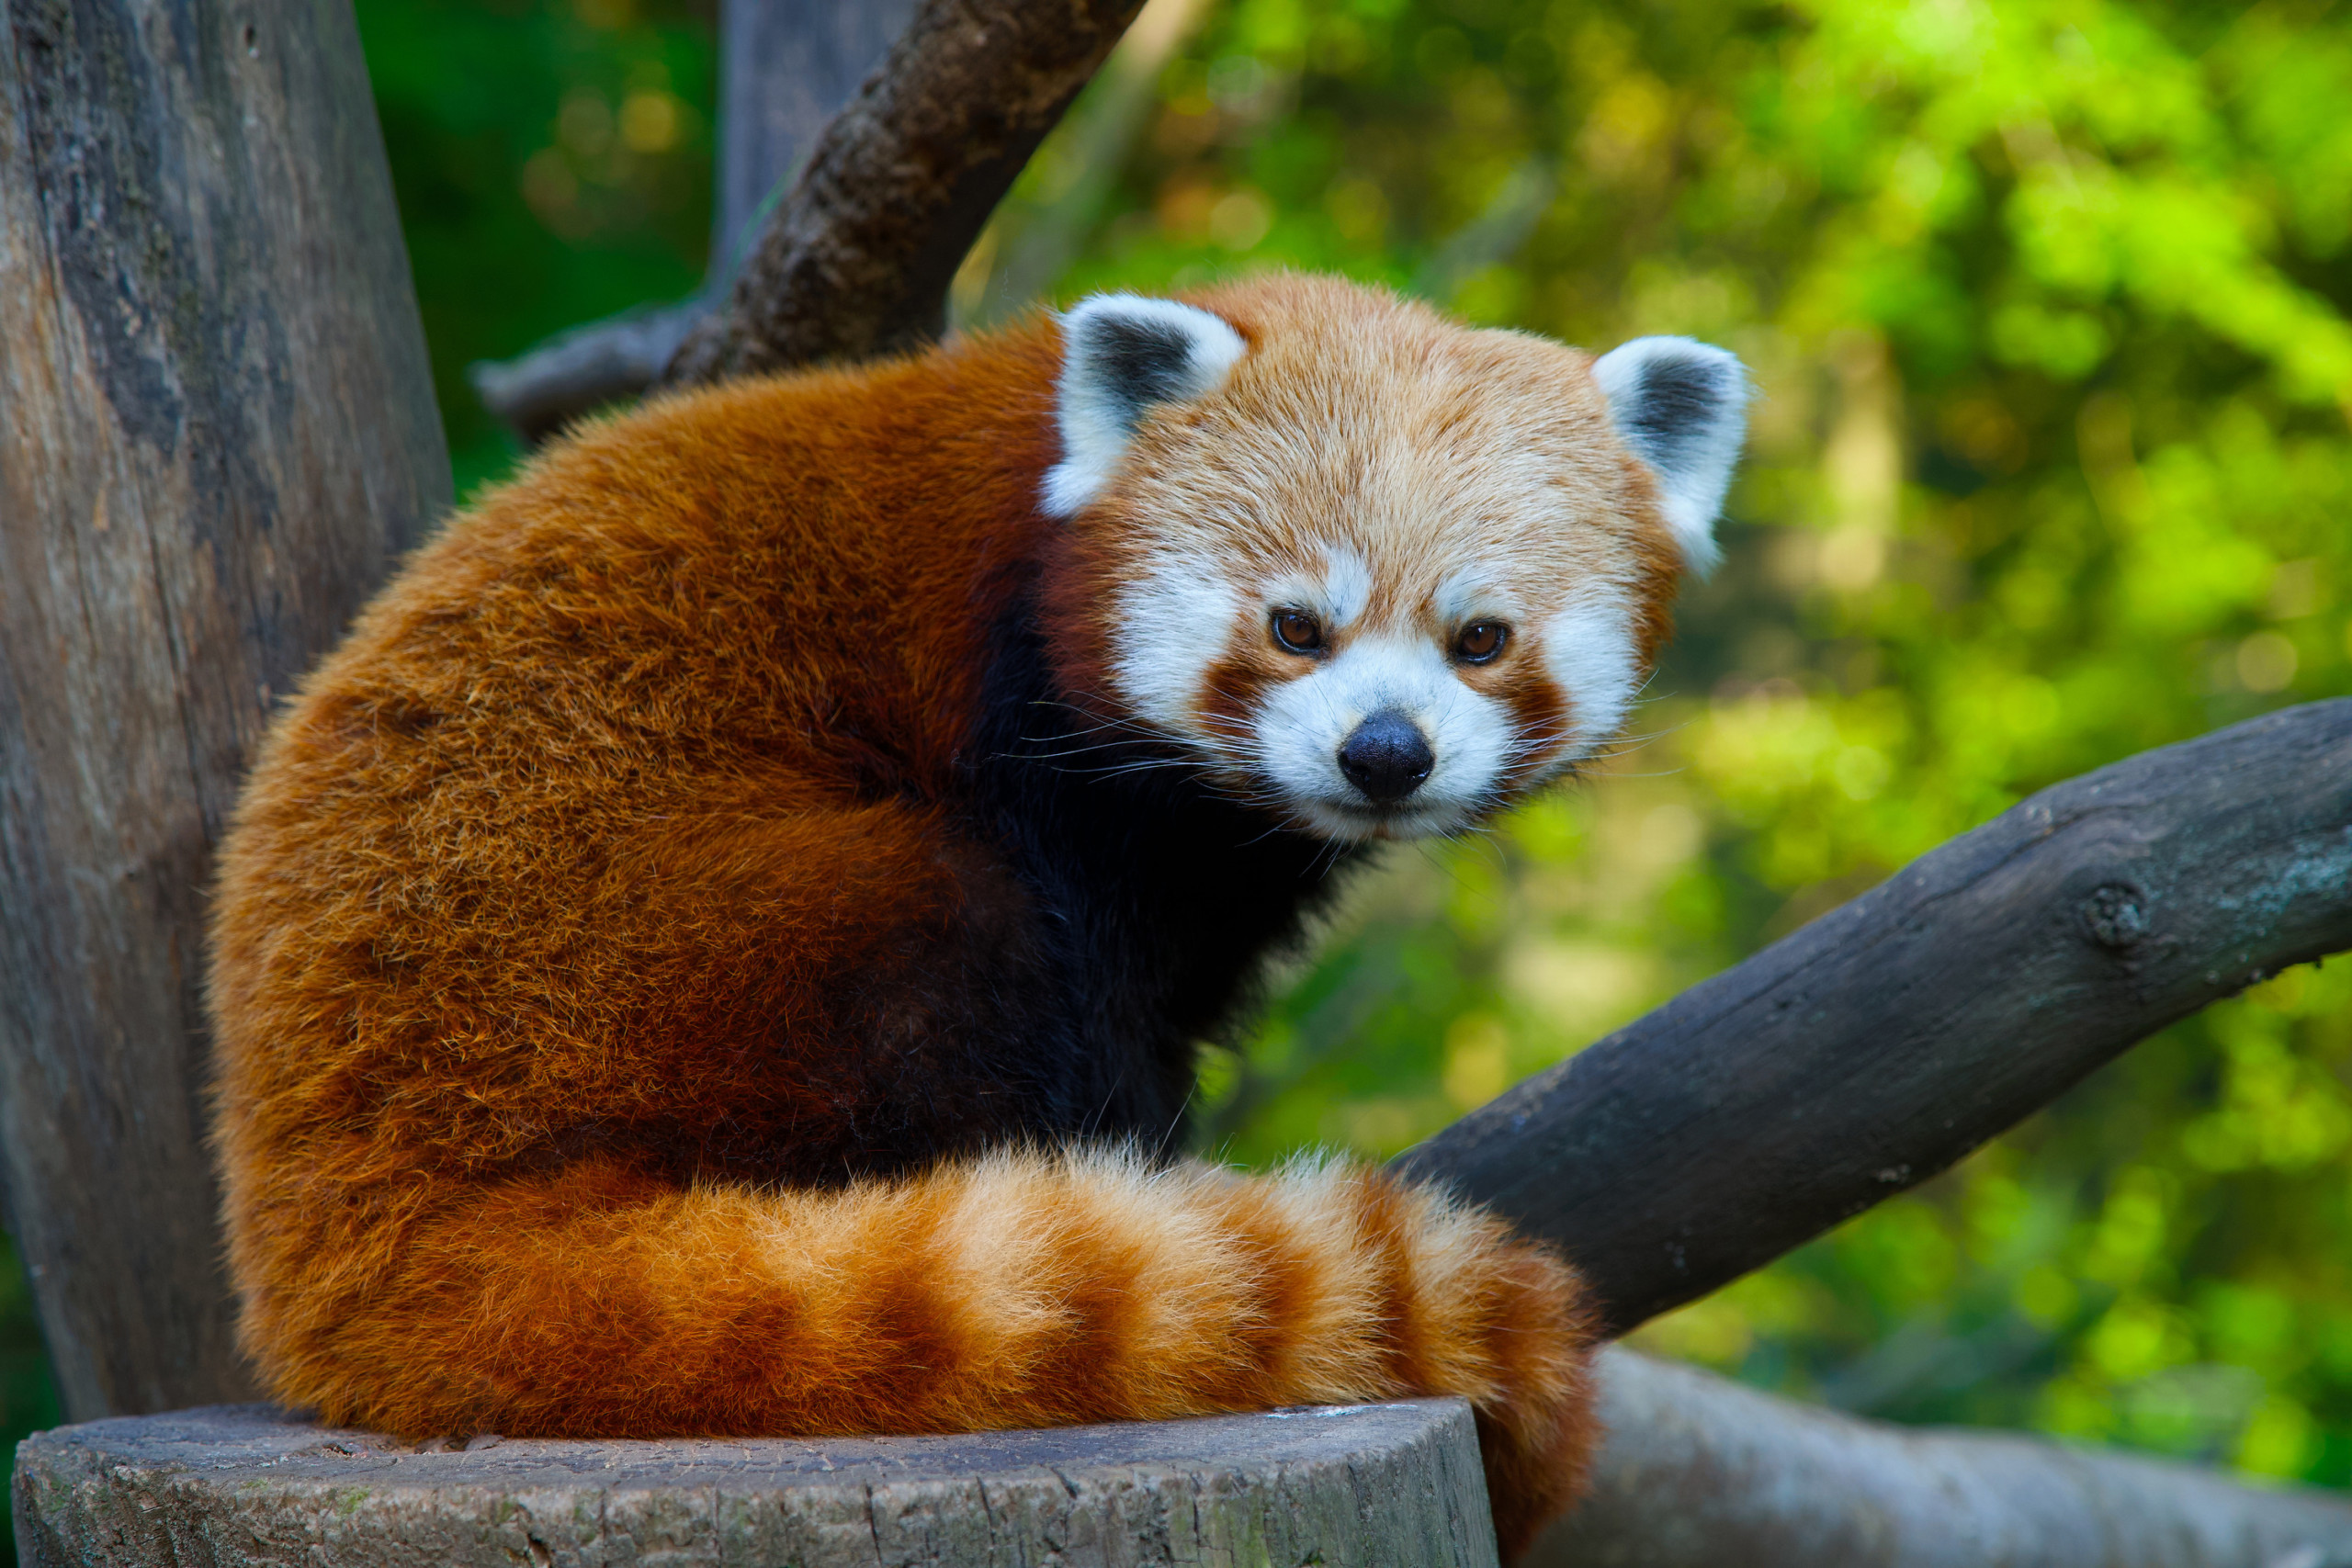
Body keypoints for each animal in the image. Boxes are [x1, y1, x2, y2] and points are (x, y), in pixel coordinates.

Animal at [207, 272, 1749, 1561]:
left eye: (1479, 639)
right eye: (1295, 625)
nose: (1383, 753)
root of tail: (357, 1215)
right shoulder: (1036, 766)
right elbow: (1103, 1004)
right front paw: (1145, 1159)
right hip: (705, 934)